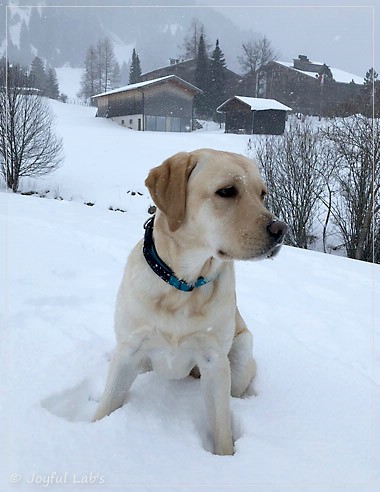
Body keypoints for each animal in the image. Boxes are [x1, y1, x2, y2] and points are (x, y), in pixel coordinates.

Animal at [93, 148, 286, 456]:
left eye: (262, 194)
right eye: (226, 191)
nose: (281, 229)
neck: (184, 284)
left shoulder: (214, 361)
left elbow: (221, 427)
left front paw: (226, 457)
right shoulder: (128, 350)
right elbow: (108, 403)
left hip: (240, 357)